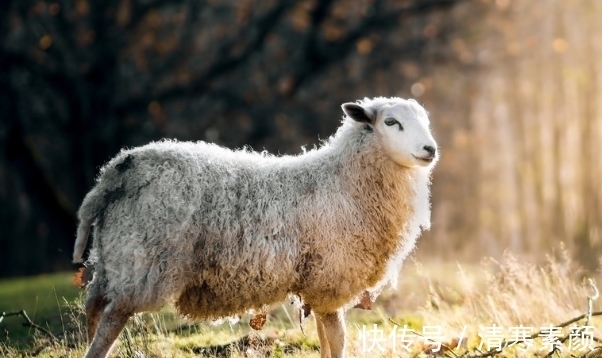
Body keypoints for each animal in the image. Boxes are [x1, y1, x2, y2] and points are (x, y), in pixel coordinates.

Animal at [74, 96, 436, 356]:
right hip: (144, 259)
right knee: (112, 319)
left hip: (115, 256)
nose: (430, 149)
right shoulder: (330, 276)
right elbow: (337, 338)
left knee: (93, 308)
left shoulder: (317, 283)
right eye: (391, 122)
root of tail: (117, 170)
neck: (342, 179)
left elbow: (325, 337)